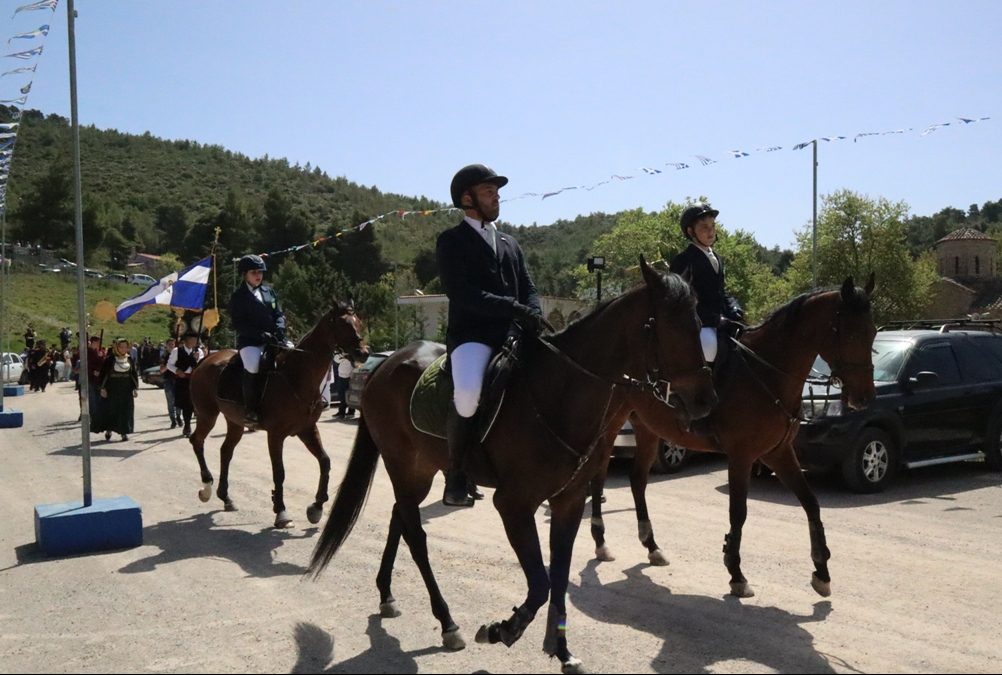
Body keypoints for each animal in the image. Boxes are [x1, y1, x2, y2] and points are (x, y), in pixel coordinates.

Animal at [188, 300, 368, 524]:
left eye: (359, 322)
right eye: (344, 324)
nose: (364, 353)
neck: (297, 376)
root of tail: (204, 360)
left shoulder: (307, 429)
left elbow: (325, 461)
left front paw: (316, 506)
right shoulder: (275, 435)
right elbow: (279, 472)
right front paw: (281, 510)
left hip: (235, 422)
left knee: (225, 451)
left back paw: (226, 497)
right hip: (207, 415)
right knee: (197, 441)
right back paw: (206, 486)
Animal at [306, 258, 721, 672]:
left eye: (698, 324)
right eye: (666, 326)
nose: (705, 401)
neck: (559, 393)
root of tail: (384, 365)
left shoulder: (569, 502)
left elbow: (558, 576)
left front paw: (562, 650)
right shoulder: (513, 504)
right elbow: (540, 582)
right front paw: (504, 629)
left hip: (420, 470)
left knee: (400, 519)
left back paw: (387, 595)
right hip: (403, 465)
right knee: (417, 537)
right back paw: (447, 622)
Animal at [585, 276, 877, 596]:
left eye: (873, 332)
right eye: (850, 333)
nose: (864, 399)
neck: (767, 372)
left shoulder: (778, 452)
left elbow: (811, 503)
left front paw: (821, 572)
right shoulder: (741, 456)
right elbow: (738, 511)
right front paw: (736, 573)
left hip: (648, 429)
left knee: (637, 480)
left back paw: (652, 546)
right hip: (609, 427)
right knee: (598, 476)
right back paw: (601, 542)